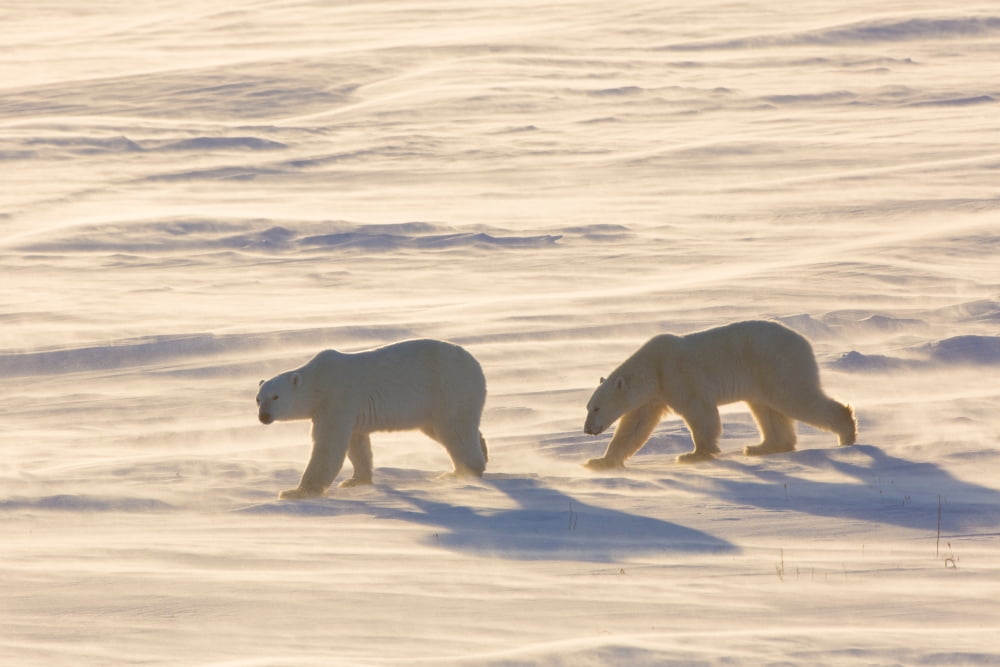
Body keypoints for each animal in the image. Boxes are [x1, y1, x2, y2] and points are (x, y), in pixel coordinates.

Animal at [256, 339, 488, 499]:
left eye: (275, 396)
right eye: (258, 399)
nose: (263, 416)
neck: (318, 383)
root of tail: (476, 365)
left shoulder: (337, 398)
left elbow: (329, 445)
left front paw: (295, 492)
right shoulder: (349, 412)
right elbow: (357, 443)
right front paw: (356, 480)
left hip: (449, 387)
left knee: (455, 430)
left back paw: (465, 471)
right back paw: (480, 451)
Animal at [583, 320, 856, 468]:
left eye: (596, 407)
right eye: (588, 407)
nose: (587, 429)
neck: (653, 367)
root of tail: (805, 342)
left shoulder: (678, 376)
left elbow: (700, 413)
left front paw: (693, 454)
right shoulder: (654, 396)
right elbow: (634, 427)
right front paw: (600, 462)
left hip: (777, 364)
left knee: (795, 398)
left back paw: (846, 433)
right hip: (761, 376)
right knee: (767, 409)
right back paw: (761, 447)